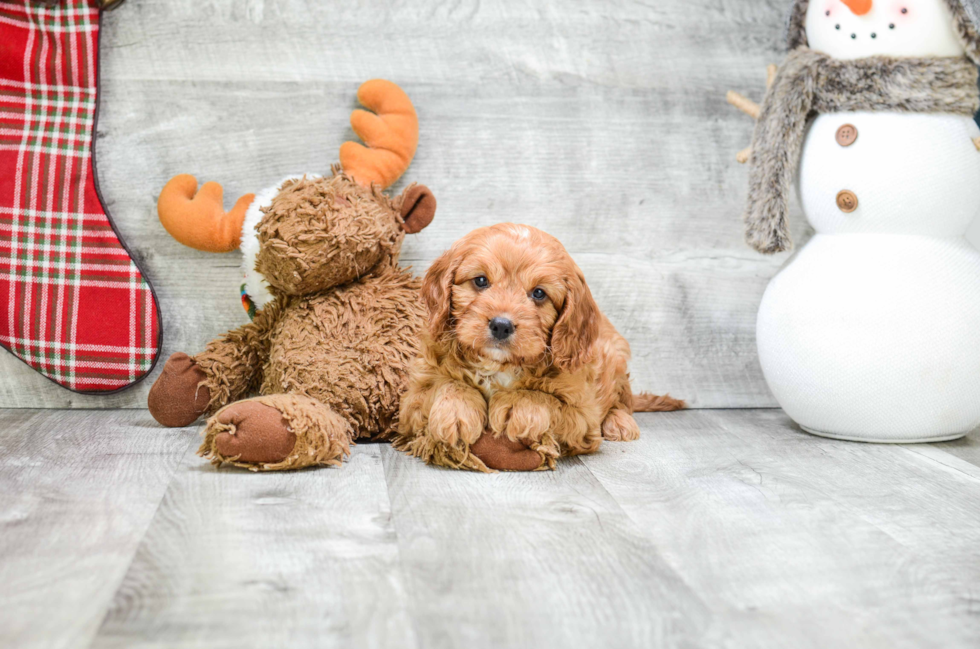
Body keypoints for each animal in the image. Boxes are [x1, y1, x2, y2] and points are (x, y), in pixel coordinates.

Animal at [394, 223, 684, 470]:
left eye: (539, 293)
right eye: (481, 281)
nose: (501, 325)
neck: (499, 366)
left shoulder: (583, 413)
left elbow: (546, 399)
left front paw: (516, 405)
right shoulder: (411, 399)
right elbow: (444, 384)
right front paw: (455, 410)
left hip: (616, 357)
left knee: (623, 401)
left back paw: (621, 422)